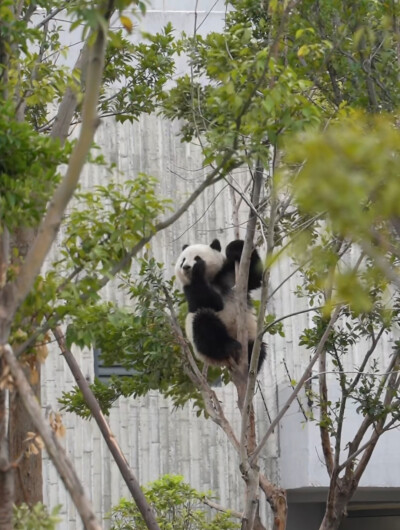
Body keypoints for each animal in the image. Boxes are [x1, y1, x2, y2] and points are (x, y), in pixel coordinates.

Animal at [174, 239, 266, 372]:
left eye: (196, 257)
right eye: (183, 260)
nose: (186, 267)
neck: (211, 279)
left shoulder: (229, 275)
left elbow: (254, 277)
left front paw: (234, 249)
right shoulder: (189, 289)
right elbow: (210, 302)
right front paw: (198, 271)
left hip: (250, 337)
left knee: (258, 348)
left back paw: (249, 364)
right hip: (200, 343)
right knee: (205, 324)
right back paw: (228, 346)